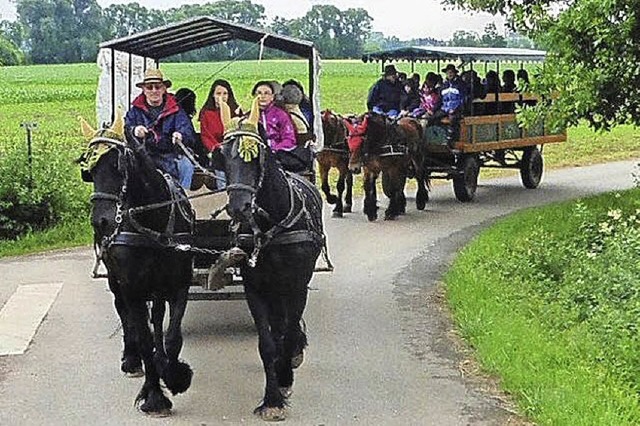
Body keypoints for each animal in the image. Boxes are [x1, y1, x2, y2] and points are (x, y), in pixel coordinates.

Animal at [78, 113, 192, 416]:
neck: (153, 224)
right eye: (88, 171)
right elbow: (143, 337)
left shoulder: (180, 284)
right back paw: (130, 359)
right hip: (116, 280)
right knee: (123, 312)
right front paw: (154, 396)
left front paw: (174, 375)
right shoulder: (134, 289)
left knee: (158, 317)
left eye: (119, 166)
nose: (101, 222)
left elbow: (172, 336)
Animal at [219, 98, 330, 422]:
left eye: (255, 157)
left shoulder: (297, 285)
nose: (239, 207)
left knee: (287, 327)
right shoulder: (255, 288)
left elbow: (288, 333)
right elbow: (267, 343)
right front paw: (272, 398)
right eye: (221, 156)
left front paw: (284, 378)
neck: (273, 225)